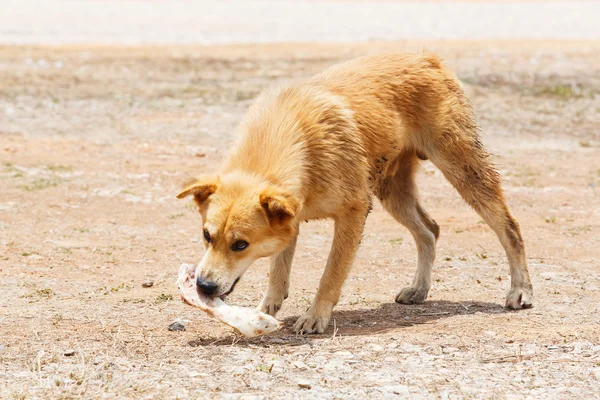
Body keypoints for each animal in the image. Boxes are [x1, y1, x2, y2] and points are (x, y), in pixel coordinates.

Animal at [176, 53, 532, 334]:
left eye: (240, 245)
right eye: (206, 236)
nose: (203, 286)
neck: (292, 137)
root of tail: (429, 58)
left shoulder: (354, 211)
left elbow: (331, 274)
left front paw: (315, 316)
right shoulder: (290, 218)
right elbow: (278, 271)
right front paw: (265, 310)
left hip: (463, 171)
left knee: (509, 227)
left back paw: (521, 290)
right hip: (392, 189)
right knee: (430, 230)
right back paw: (419, 288)